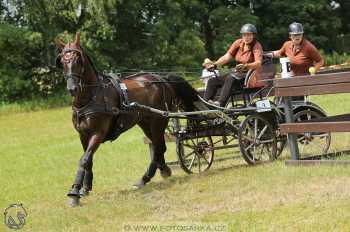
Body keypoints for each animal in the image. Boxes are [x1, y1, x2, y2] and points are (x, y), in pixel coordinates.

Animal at [54, 32, 197, 205]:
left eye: (78, 60)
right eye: (62, 61)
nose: (72, 88)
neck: (91, 97)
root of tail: (161, 78)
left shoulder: (98, 133)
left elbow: (84, 159)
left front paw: (74, 192)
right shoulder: (83, 135)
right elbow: (88, 160)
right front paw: (85, 188)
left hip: (158, 120)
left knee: (158, 147)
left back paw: (147, 176)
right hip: (146, 122)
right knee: (158, 147)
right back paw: (159, 172)